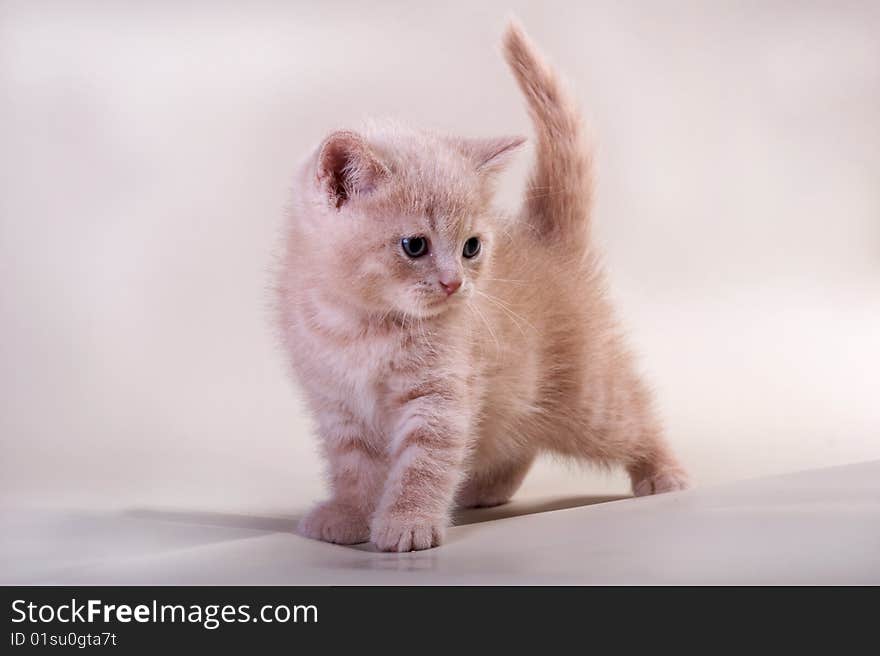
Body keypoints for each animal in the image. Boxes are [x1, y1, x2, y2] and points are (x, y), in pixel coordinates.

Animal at [276, 20, 688, 552]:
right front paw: (349, 515)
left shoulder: (440, 394)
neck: (359, 324)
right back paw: (486, 488)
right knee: (518, 434)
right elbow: (353, 469)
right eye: (414, 245)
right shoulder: (337, 404)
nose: (453, 284)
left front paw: (407, 523)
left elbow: (423, 464)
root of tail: (548, 241)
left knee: (635, 419)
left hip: (590, 400)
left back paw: (664, 472)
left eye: (471, 247)